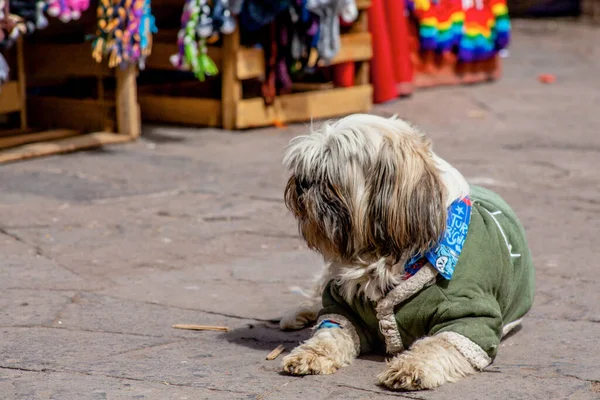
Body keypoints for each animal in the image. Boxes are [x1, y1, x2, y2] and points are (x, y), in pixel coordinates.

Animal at [278, 114, 536, 390]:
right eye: (305, 167)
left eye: (329, 169)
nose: (301, 183)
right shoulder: (343, 309)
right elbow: (330, 332)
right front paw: (310, 353)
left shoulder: (468, 318)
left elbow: (438, 344)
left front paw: (411, 367)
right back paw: (300, 313)